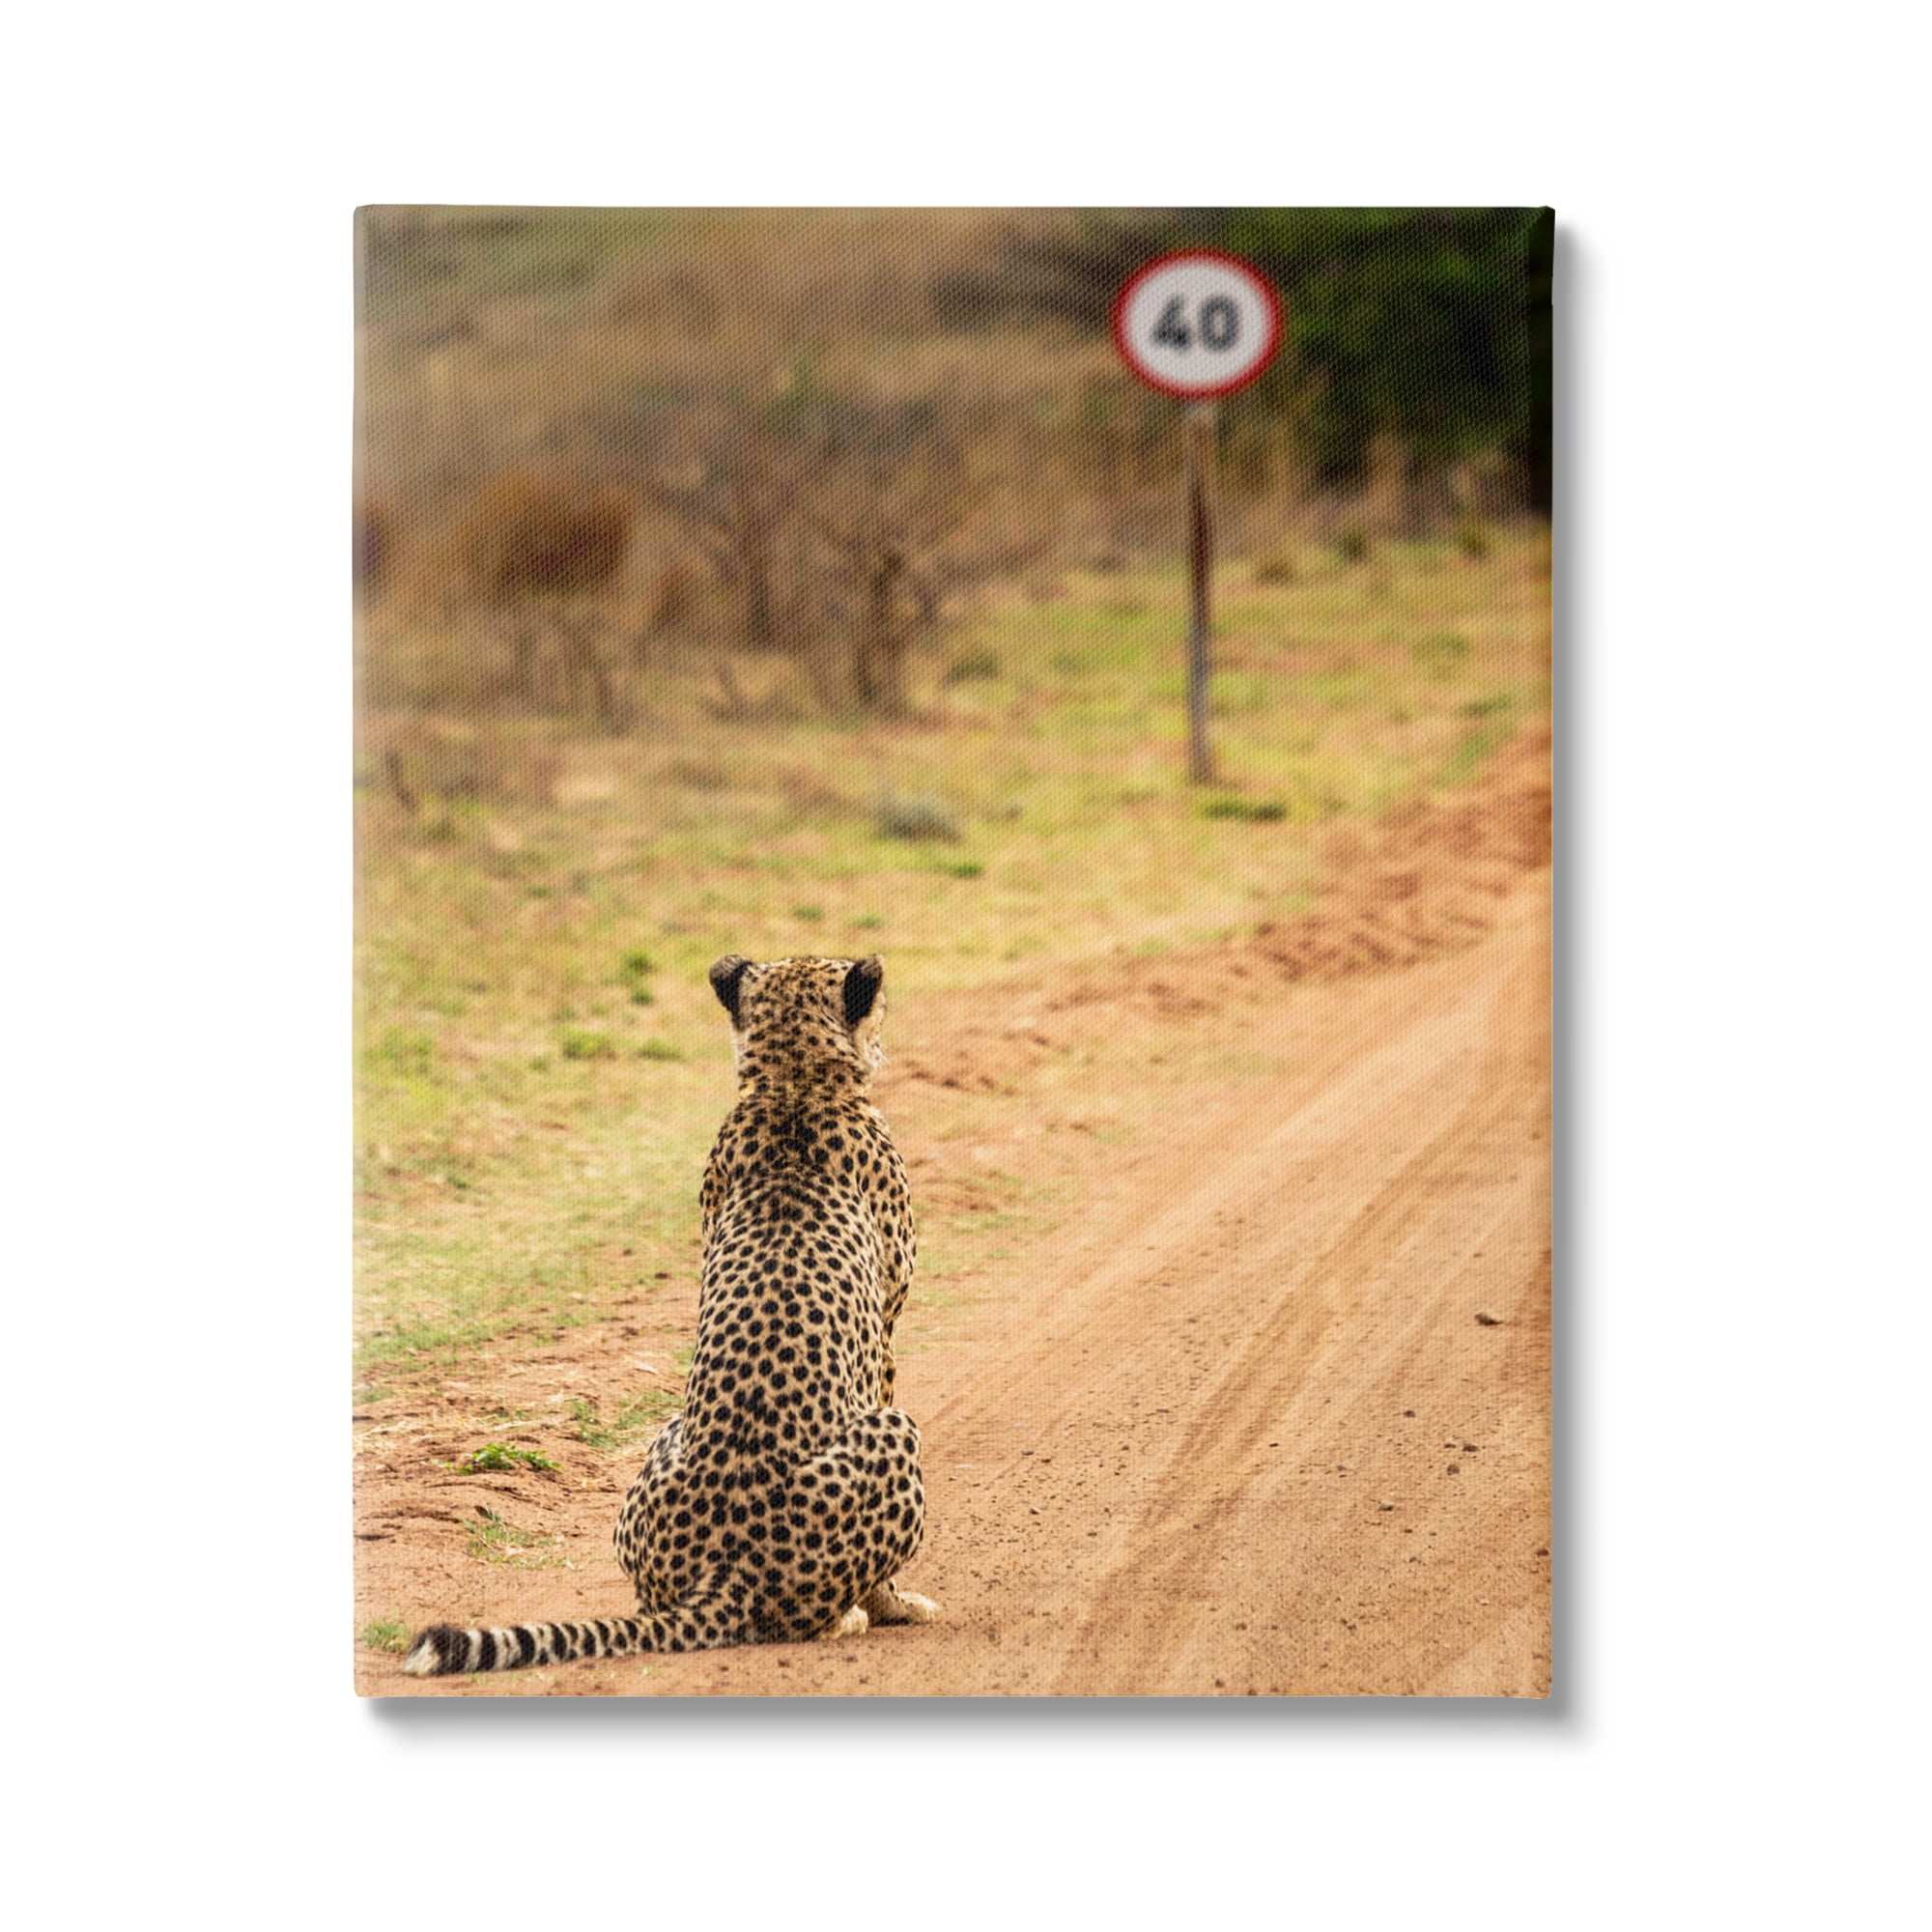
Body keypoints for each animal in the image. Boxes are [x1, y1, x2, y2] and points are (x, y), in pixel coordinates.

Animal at [402, 953, 938, 1676]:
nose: (886, 1035)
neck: (791, 1085)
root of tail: (725, 1572)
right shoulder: (884, 1334)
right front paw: (896, 1606)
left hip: (665, 1440)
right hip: (894, 1430)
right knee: (804, 1617)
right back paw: (849, 1617)